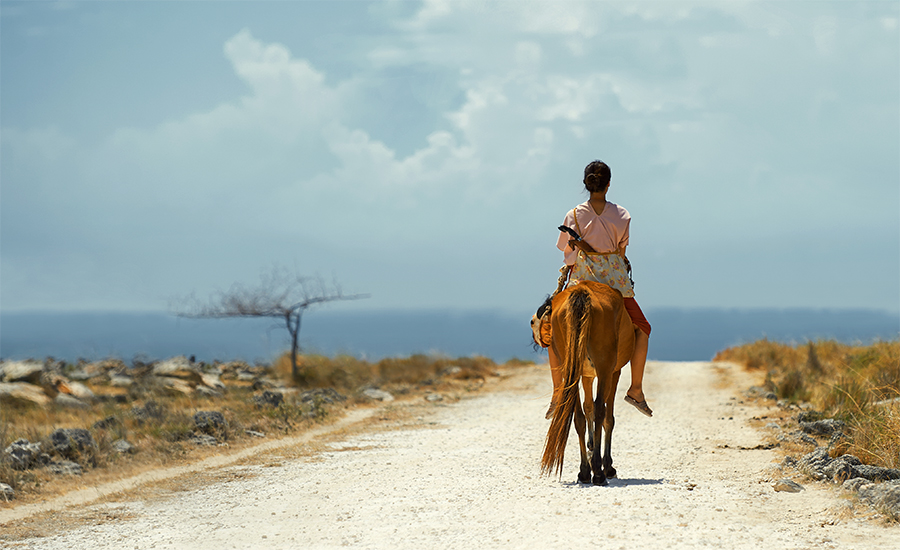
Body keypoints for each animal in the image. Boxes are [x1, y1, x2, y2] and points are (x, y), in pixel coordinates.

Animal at [540, 282, 632, 486]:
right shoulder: (614, 372)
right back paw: (598, 471)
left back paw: (584, 471)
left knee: (578, 416)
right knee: (600, 411)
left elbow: (587, 408)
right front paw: (607, 465)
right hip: (604, 368)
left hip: (571, 370)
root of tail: (582, 292)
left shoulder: (586, 375)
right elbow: (607, 417)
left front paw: (590, 454)